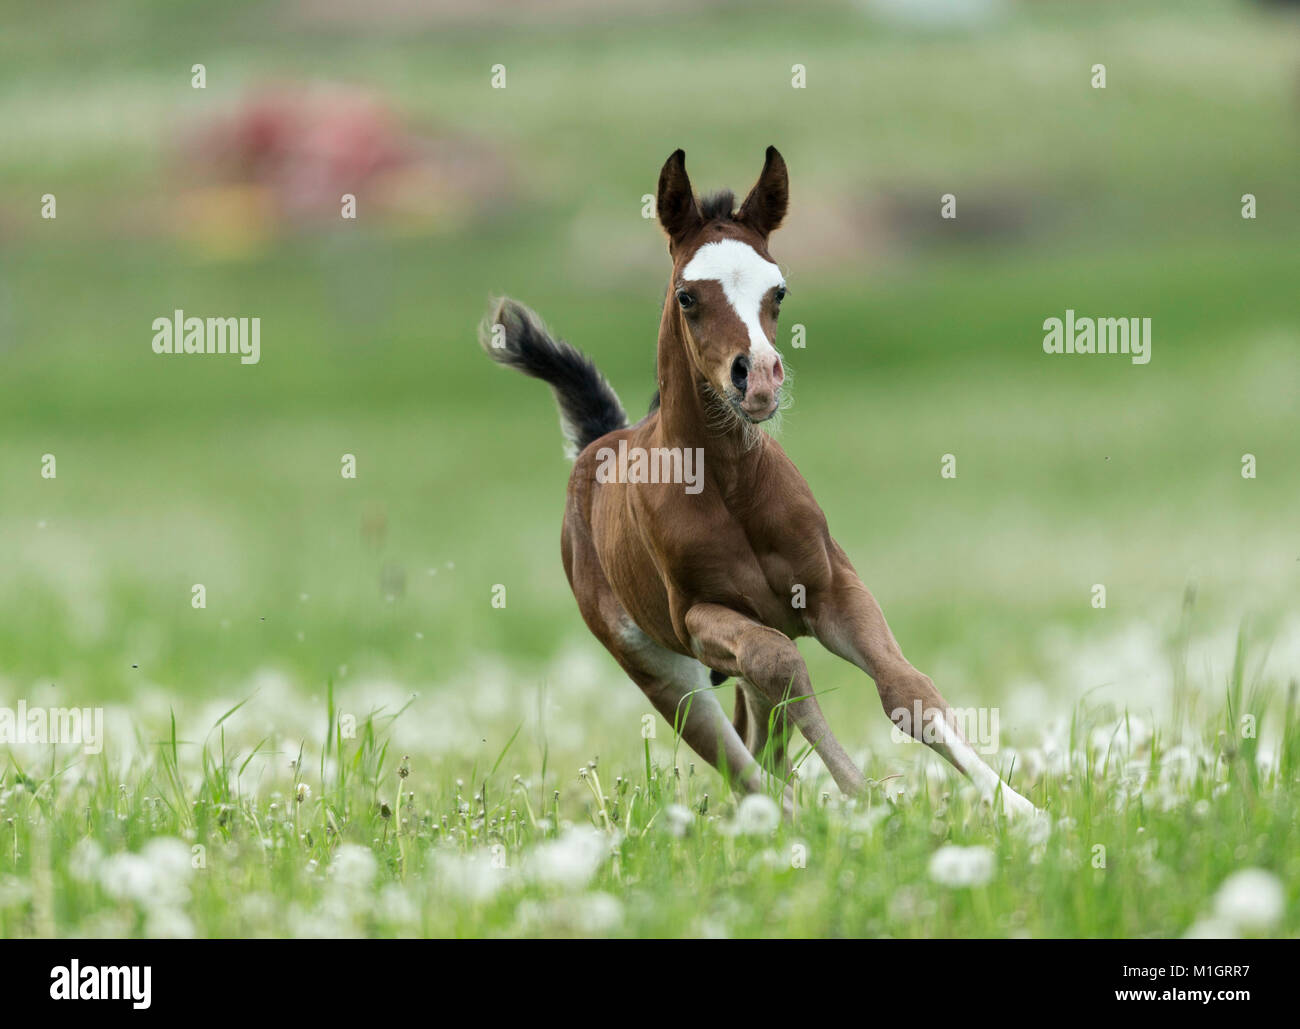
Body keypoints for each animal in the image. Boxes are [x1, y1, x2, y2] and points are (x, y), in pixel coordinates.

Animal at [483, 146, 1040, 821]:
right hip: (661, 670)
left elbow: (908, 691)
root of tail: (599, 442)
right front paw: (864, 799)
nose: (760, 379)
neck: (730, 487)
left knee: (760, 744)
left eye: (779, 289)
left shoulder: (833, 588)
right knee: (740, 760)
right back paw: (787, 817)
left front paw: (1022, 810)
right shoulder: (699, 618)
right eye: (687, 295)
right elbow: (783, 664)